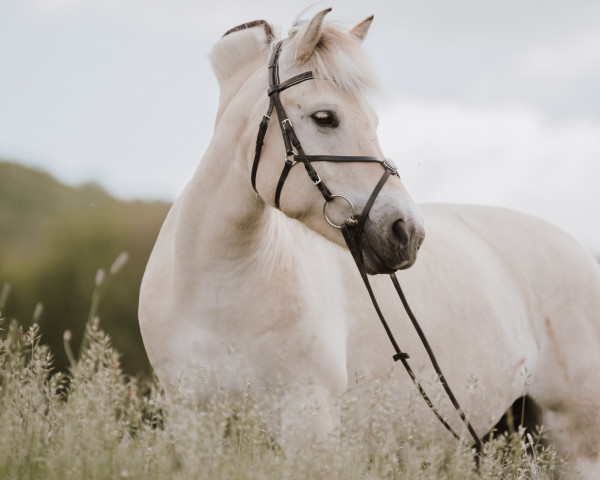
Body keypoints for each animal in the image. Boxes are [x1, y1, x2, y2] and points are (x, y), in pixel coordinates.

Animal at [138, 8, 600, 476]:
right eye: (326, 117)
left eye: (374, 122)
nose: (407, 232)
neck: (222, 290)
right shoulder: (193, 423)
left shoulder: (308, 423)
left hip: (575, 447)